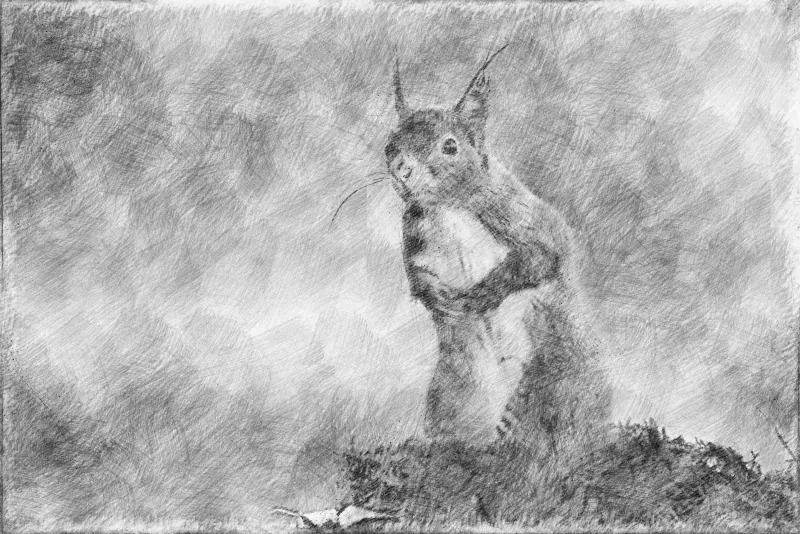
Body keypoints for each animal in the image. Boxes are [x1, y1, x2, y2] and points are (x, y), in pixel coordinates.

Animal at [385, 50, 612, 461]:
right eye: (390, 144)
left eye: (450, 146)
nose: (401, 169)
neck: (447, 209)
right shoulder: (415, 244)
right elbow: (418, 280)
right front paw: (441, 299)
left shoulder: (522, 220)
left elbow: (538, 260)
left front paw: (477, 296)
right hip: (455, 392)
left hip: (555, 369)